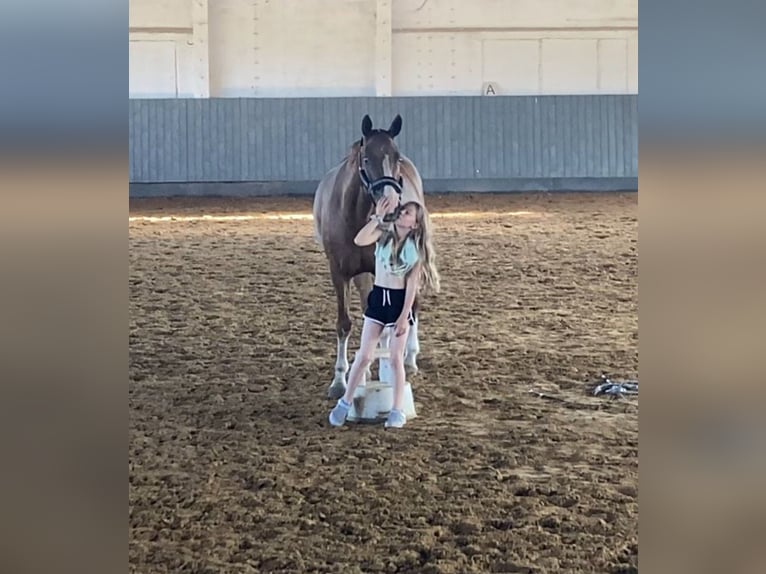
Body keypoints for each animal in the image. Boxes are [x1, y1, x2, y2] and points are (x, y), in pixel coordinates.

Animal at [316, 112, 428, 400]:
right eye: (366, 158)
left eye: (396, 157)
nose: (392, 204)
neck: (353, 217)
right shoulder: (339, 273)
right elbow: (345, 324)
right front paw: (341, 381)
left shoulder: (383, 270)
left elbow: (388, 322)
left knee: (412, 305)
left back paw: (409, 359)